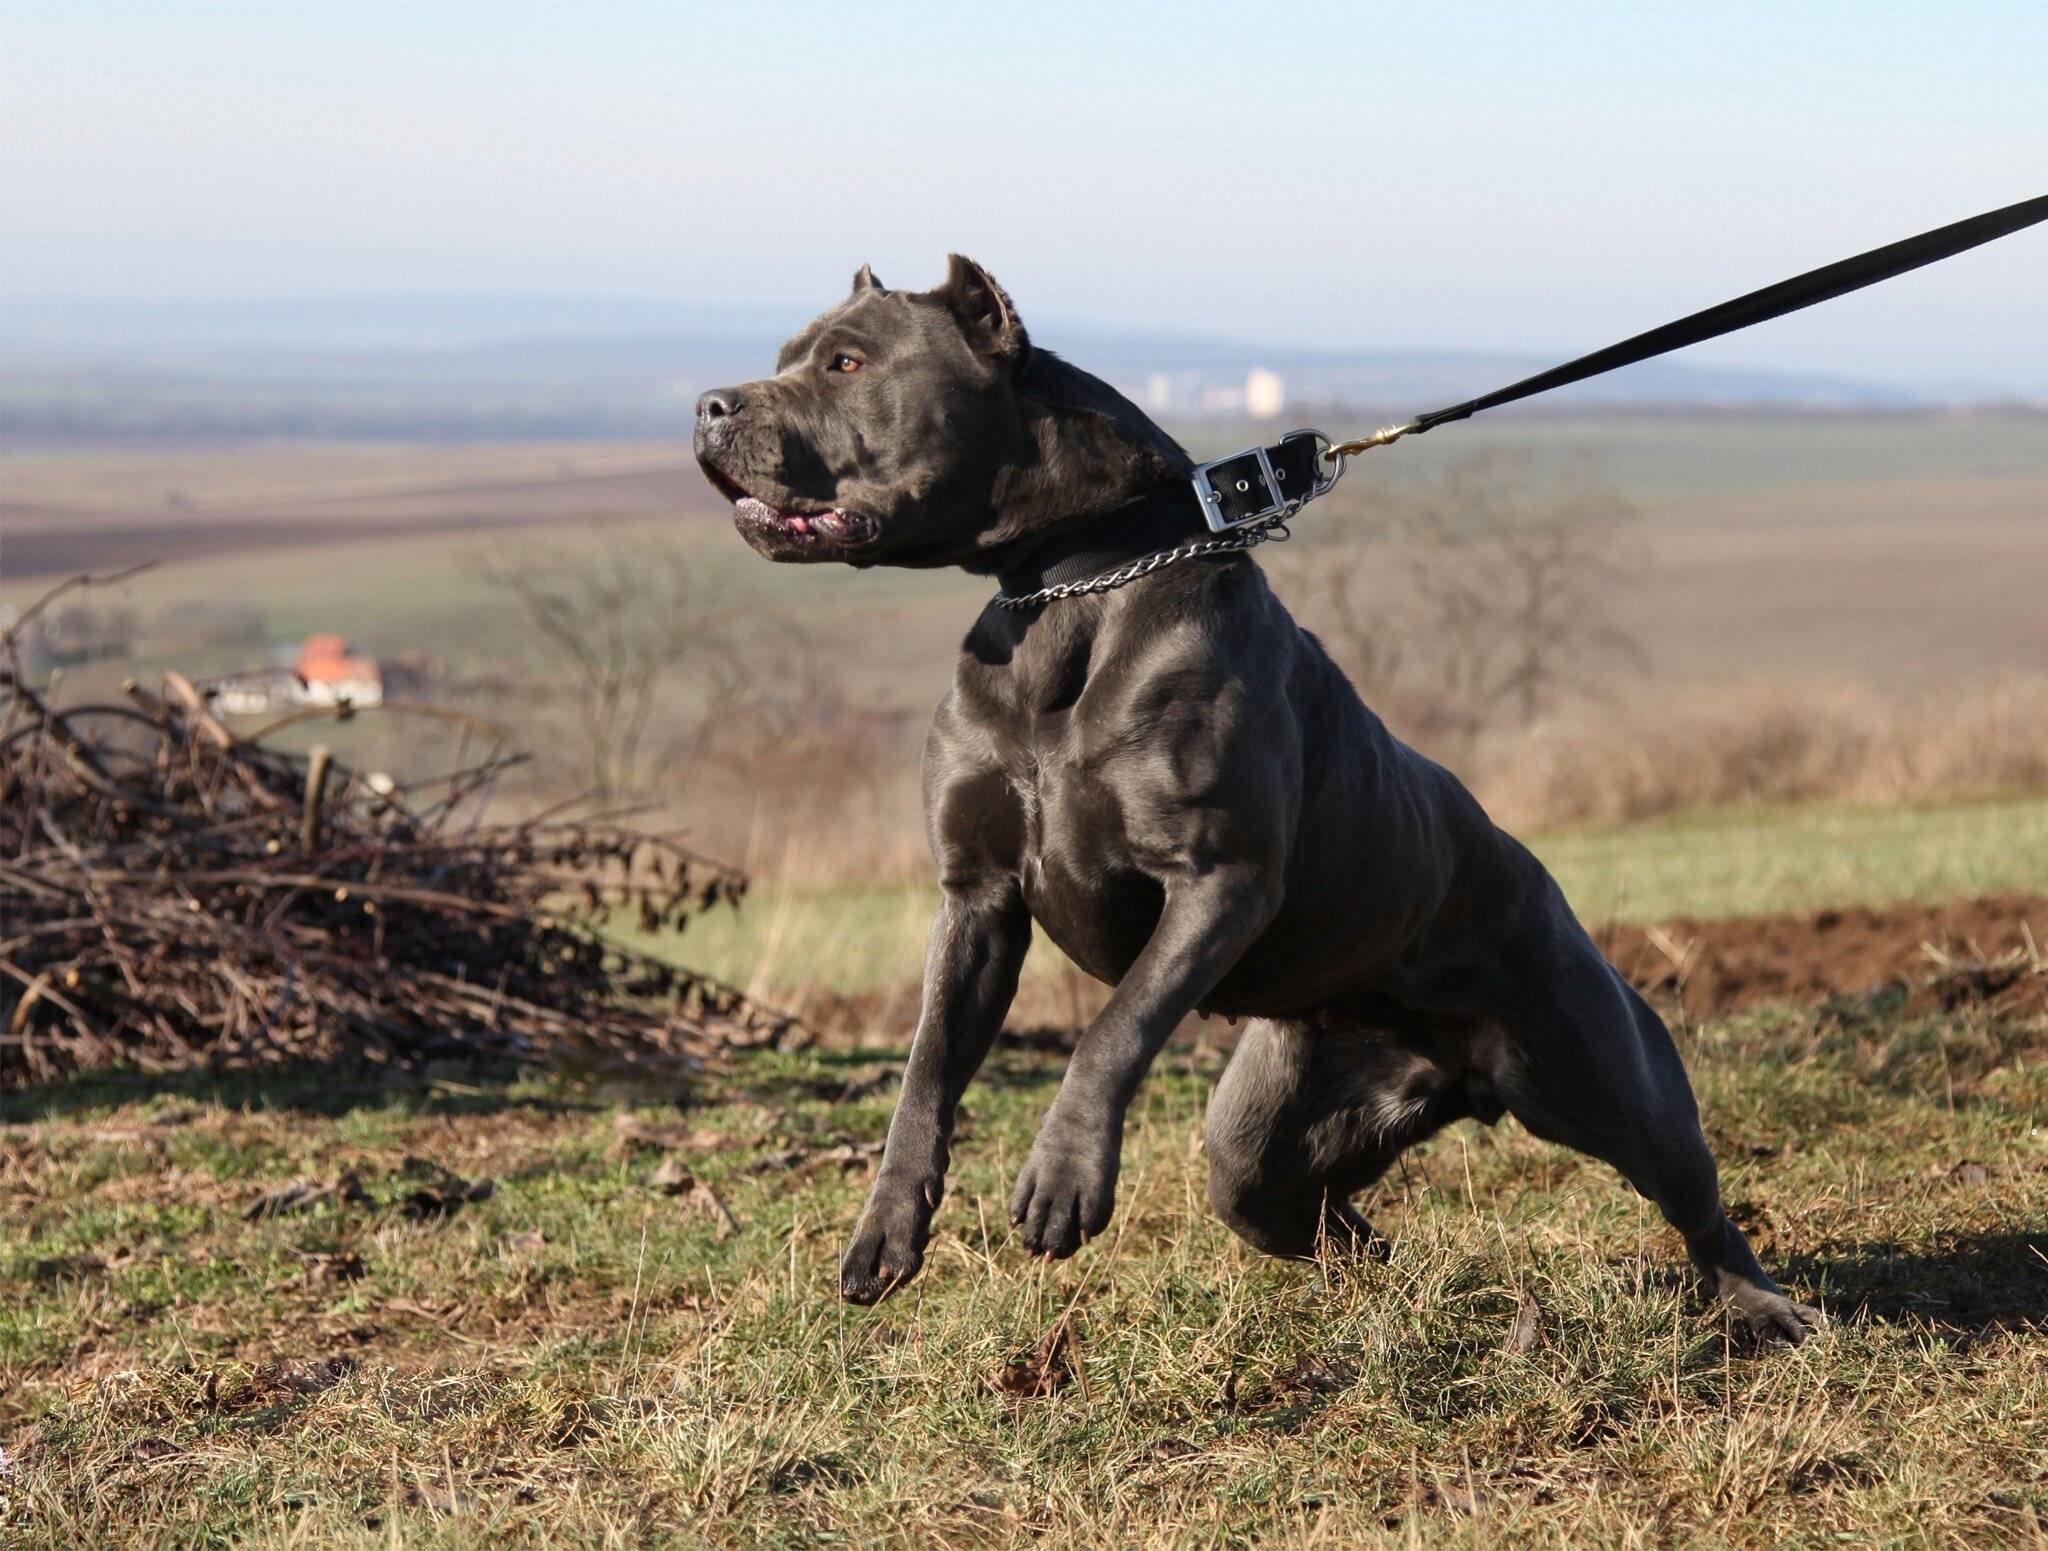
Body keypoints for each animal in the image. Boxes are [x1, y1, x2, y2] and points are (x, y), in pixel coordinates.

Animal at [692, 257, 1826, 1344]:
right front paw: (885, 1227)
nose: (708, 403)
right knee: (1324, 1218)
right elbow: (925, 1071)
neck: (1069, 590)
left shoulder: (1214, 880)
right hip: (1264, 1143)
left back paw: (1762, 1308)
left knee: (1691, 1194)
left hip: (1607, 1076)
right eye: (789, 356)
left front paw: (1063, 1174)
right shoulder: (975, 899)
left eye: (846, 363)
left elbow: (1112, 1028)